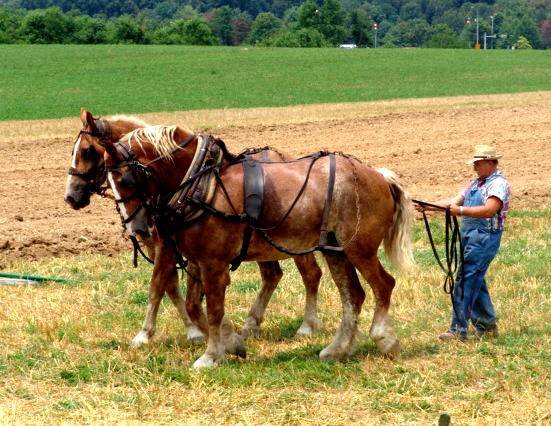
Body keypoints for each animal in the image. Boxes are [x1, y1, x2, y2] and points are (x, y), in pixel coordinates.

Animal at [64, 109, 323, 349]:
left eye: (87, 151)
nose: (70, 196)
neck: (184, 180)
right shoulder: (167, 246)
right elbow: (169, 286)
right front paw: (194, 329)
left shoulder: (173, 247)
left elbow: (161, 286)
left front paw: (153, 333)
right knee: (272, 275)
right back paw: (251, 324)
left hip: (294, 240)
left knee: (311, 274)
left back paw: (306, 326)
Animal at [102, 125, 414, 368]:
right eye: (107, 182)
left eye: (123, 178)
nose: (136, 227)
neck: (203, 184)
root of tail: (379, 175)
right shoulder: (196, 260)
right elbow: (193, 305)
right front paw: (232, 342)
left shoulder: (213, 263)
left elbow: (213, 309)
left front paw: (211, 355)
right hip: (334, 250)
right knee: (353, 296)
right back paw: (337, 349)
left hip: (359, 249)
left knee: (383, 285)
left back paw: (383, 338)